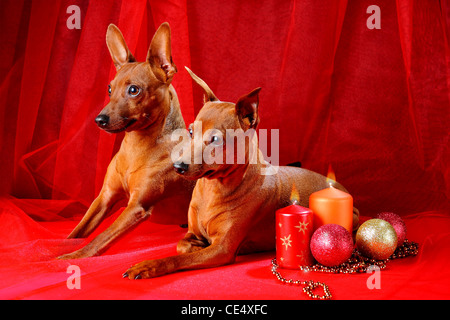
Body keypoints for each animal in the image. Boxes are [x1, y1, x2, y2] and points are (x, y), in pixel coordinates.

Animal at [123, 68, 358, 280]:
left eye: (215, 139)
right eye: (190, 131)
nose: (178, 166)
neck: (213, 189)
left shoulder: (222, 250)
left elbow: (178, 258)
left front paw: (148, 266)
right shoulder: (193, 234)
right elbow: (182, 245)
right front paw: (194, 245)